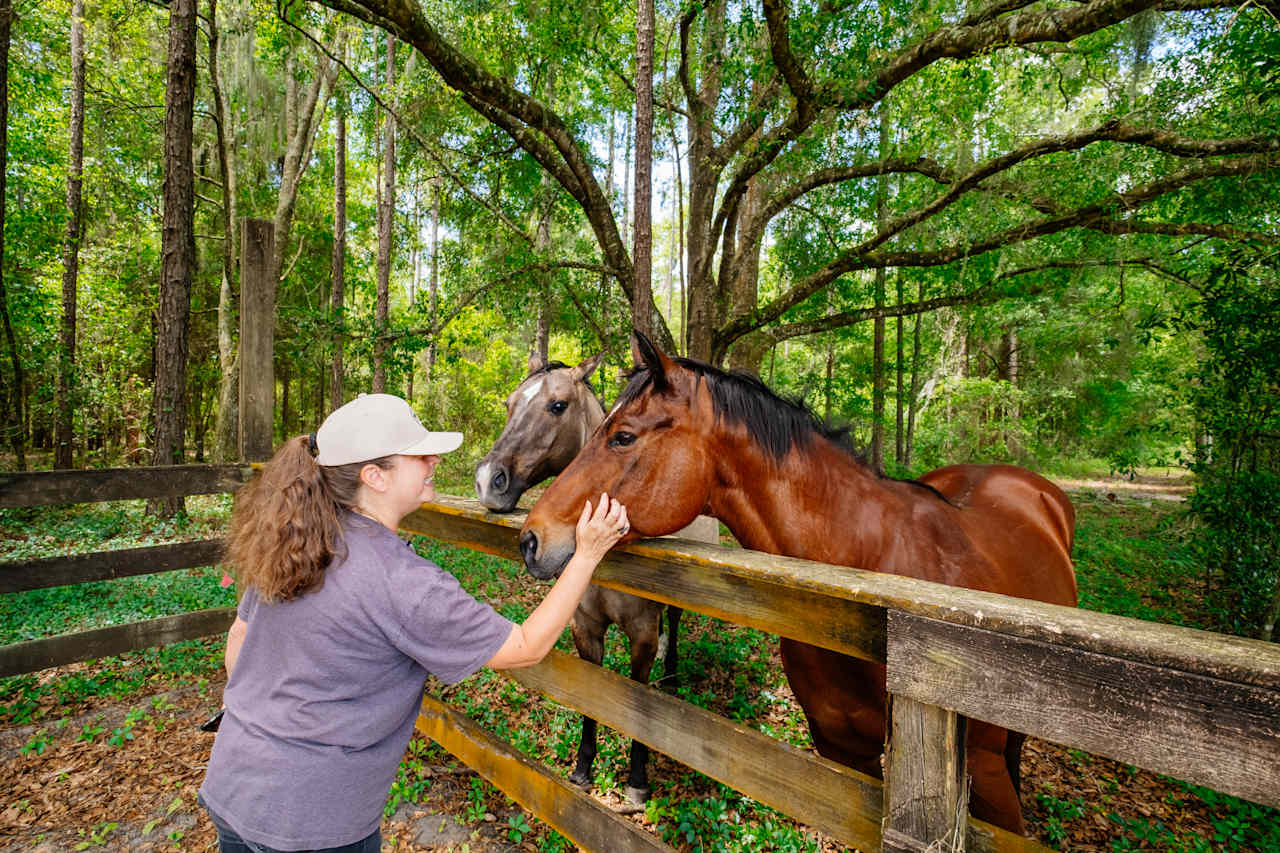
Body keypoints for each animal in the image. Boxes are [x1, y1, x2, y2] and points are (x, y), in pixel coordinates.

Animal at [473, 348, 696, 799]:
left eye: (557, 406)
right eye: (509, 404)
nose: (488, 481)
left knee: (675, 623)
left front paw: (637, 780)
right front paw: (582, 768)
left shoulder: (642, 634)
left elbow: (638, 706)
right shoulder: (585, 627)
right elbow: (591, 697)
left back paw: (671, 675)